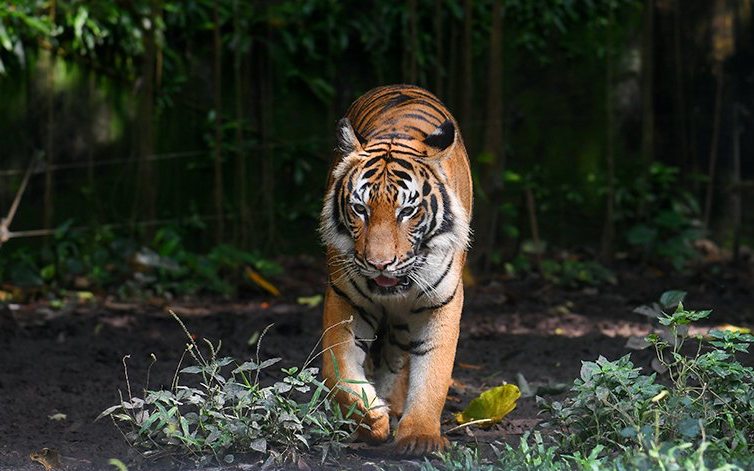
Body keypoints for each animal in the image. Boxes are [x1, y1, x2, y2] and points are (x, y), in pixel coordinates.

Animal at [318, 85, 470, 458]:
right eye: (360, 209)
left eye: (407, 211)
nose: (379, 263)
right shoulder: (344, 298)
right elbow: (337, 370)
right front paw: (369, 419)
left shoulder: (442, 303)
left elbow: (433, 372)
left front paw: (419, 436)